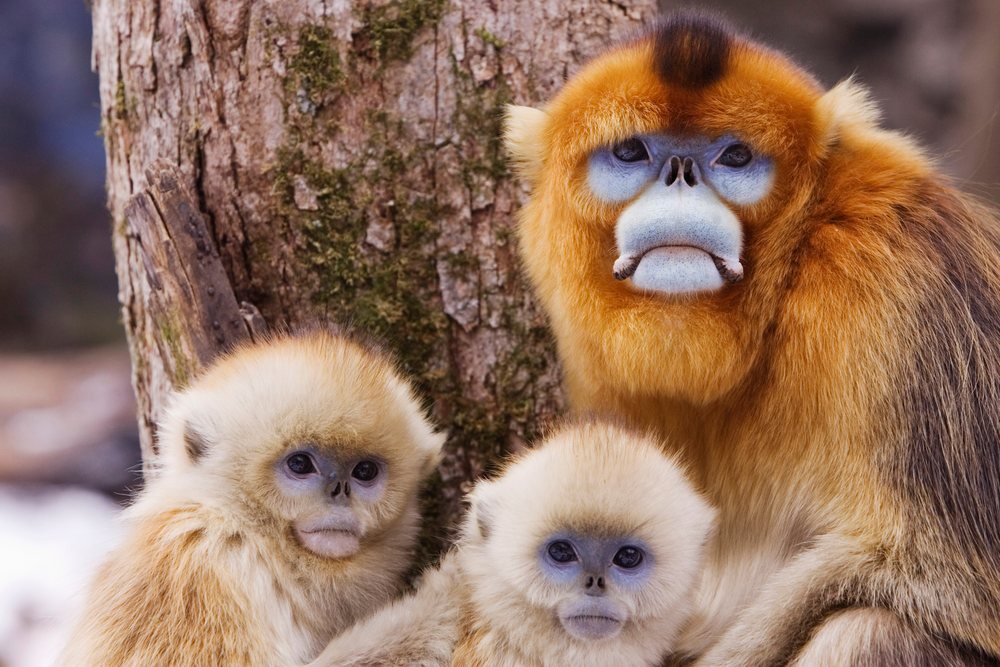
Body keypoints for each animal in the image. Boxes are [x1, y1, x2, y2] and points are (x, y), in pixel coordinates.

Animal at [505, 10, 1000, 666]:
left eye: (734, 157)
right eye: (632, 151)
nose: (681, 176)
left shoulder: (900, 280)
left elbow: (953, 580)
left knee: (870, 627)